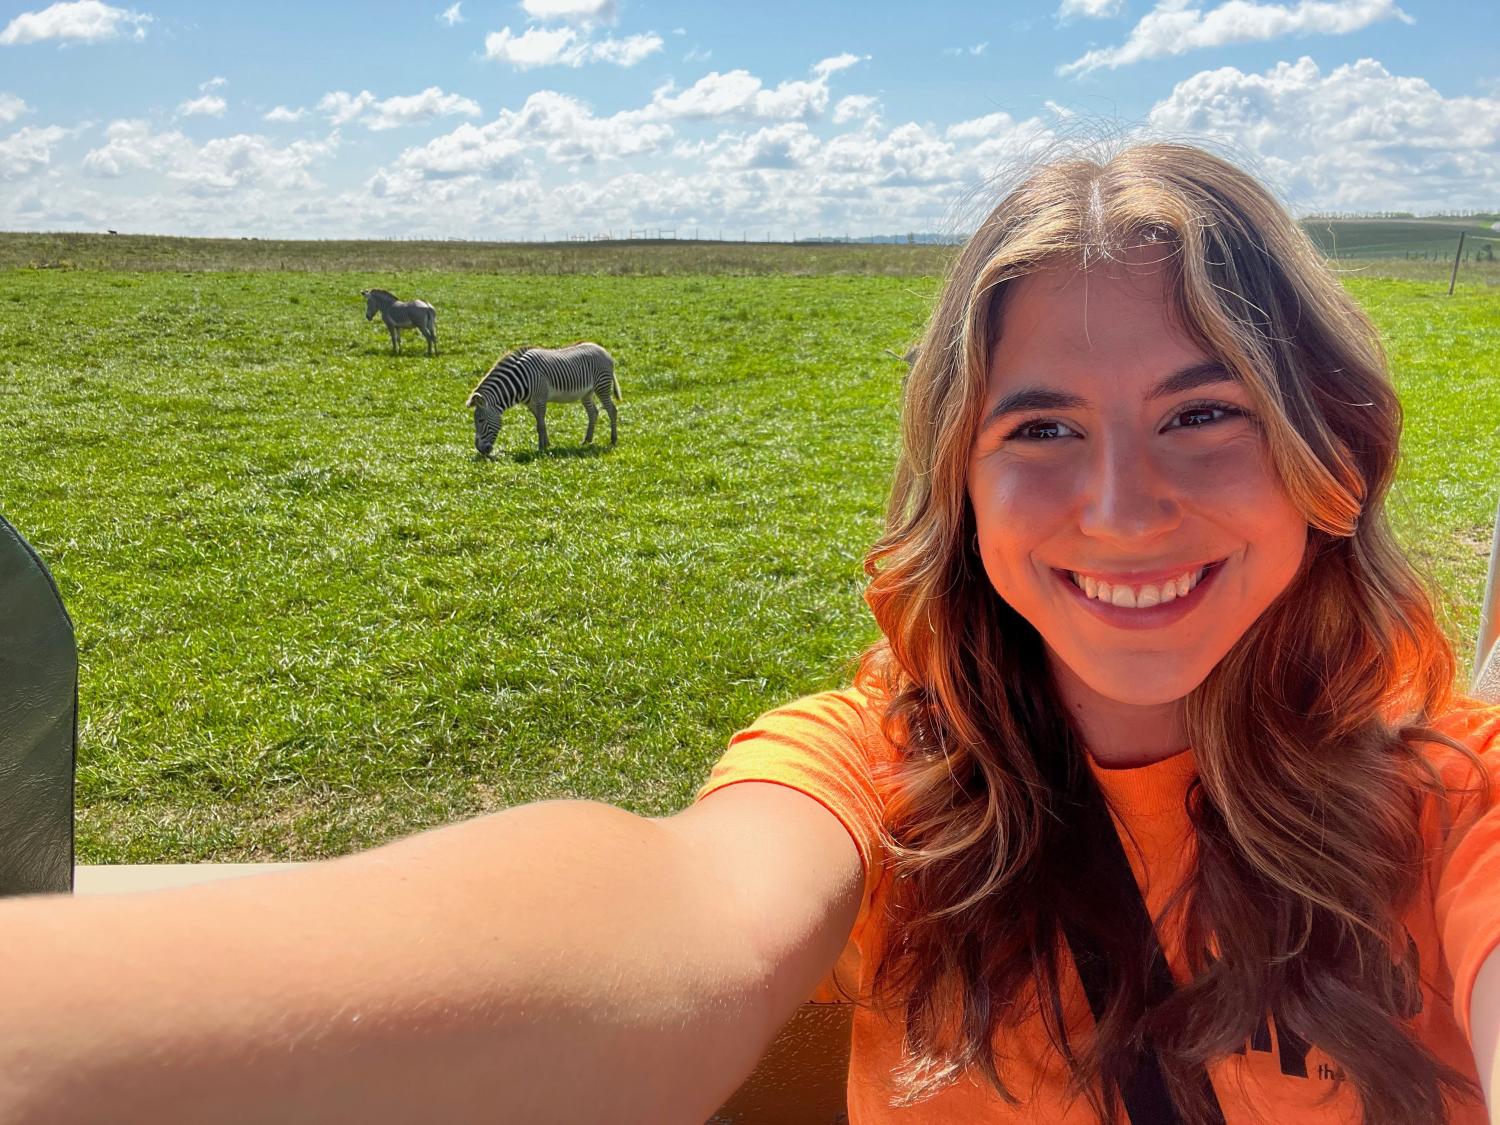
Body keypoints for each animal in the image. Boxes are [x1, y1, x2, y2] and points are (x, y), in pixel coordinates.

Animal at [462, 342, 615, 456]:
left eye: (480, 421)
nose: (481, 450)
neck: (520, 381)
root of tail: (602, 349)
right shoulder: (530, 404)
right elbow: (540, 423)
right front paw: (546, 444)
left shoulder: (541, 399)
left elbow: (540, 424)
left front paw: (541, 448)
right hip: (586, 393)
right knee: (593, 412)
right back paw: (587, 440)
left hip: (601, 386)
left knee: (612, 410)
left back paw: (613, 440)